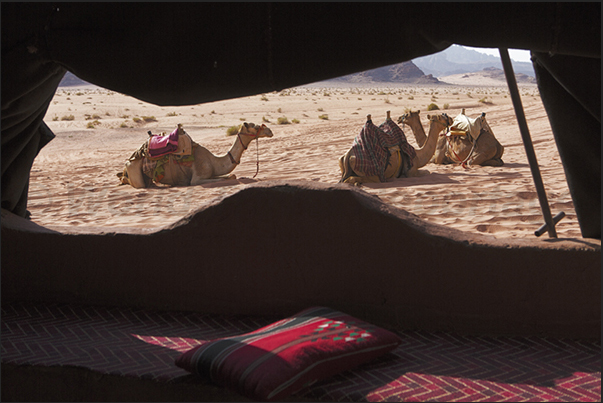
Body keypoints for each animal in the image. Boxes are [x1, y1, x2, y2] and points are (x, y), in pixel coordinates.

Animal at [118, 122, 274, 189]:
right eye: (254, 126)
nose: (270, 131)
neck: (213, 160)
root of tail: (129, 160)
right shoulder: (197, 177)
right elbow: (226, 178)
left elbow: (232, 175)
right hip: (134, 170)